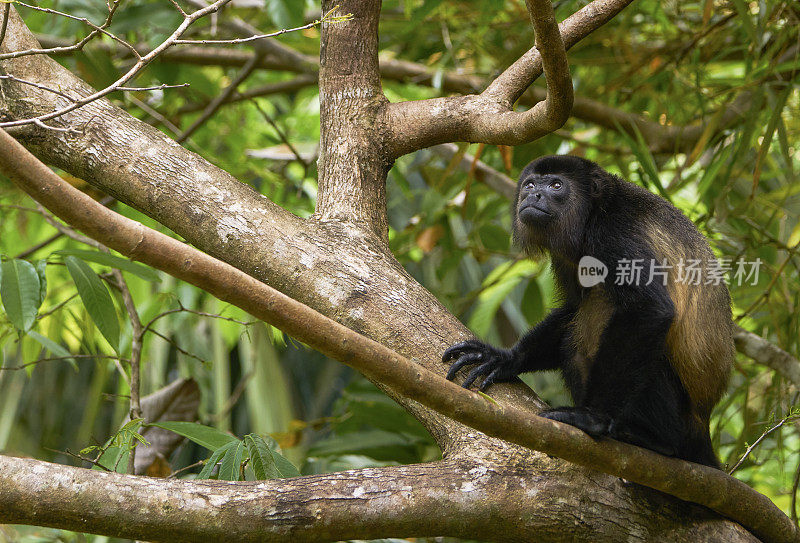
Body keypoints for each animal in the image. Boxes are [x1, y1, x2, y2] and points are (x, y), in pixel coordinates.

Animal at [444, 155, 732, 470]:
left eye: (556, 185)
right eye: (530, 184)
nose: (533, 195)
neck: (591, 215)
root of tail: (702, 425)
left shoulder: (614, 232)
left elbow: (648, 308)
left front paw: (592, 418)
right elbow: (573, 308)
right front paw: (506, 358)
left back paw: (657, 440)